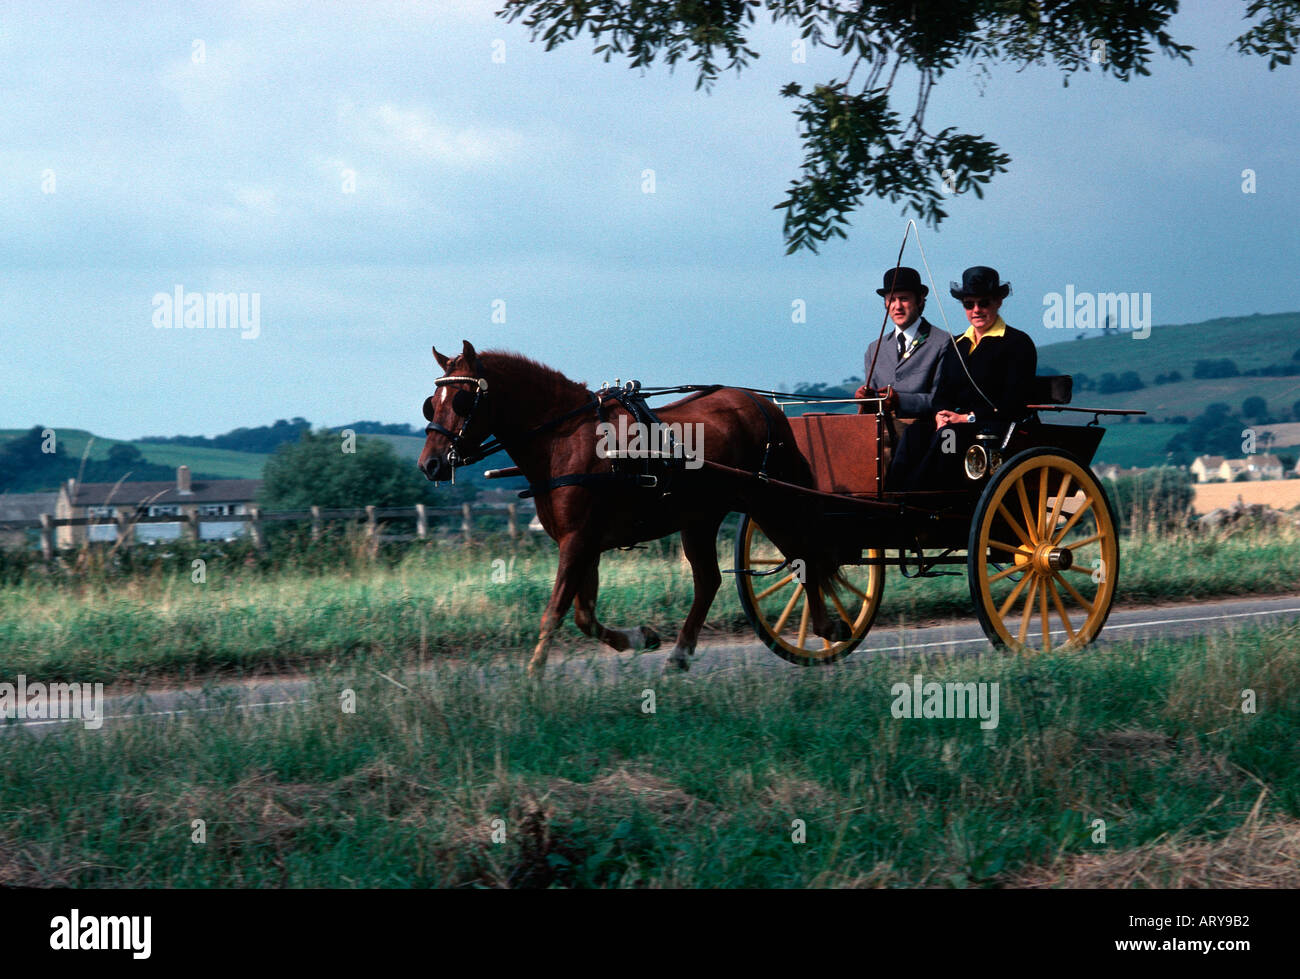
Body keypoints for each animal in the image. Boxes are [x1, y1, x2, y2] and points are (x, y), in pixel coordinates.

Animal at [413, 340, 842, 670]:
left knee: (803, 555)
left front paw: (533, 678)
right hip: (700, 518)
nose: (430, 464)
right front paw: (640, 637)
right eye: (431, 403)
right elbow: (584, 616)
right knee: (710, 580)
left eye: (463, 400)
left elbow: (554, 613)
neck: (565, 439)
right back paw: (680, 653)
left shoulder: (577, 541)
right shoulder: (585, 545)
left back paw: (826, 628)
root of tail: (762, 405)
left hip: (769, 500)